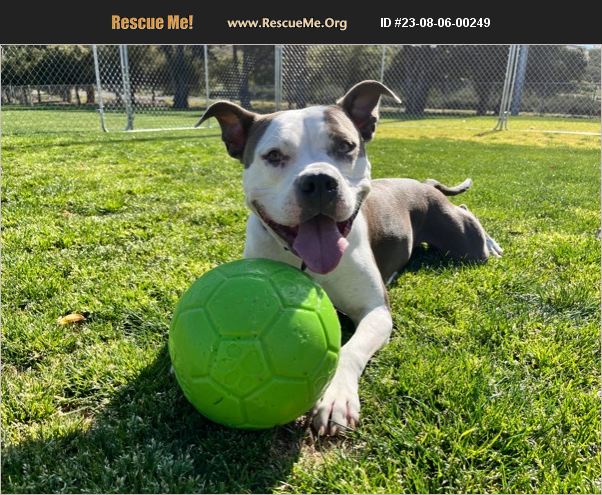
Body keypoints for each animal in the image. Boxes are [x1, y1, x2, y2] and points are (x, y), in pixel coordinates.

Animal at [196, 80, 502, 436]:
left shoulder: (376, 310)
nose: (318, 181)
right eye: (273, 156)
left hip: (462, 242)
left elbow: (349, 348)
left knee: (467, 214)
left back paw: (492, 244)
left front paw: (335, 397)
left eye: (345, 146)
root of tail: (421, 183)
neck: (305, 262)